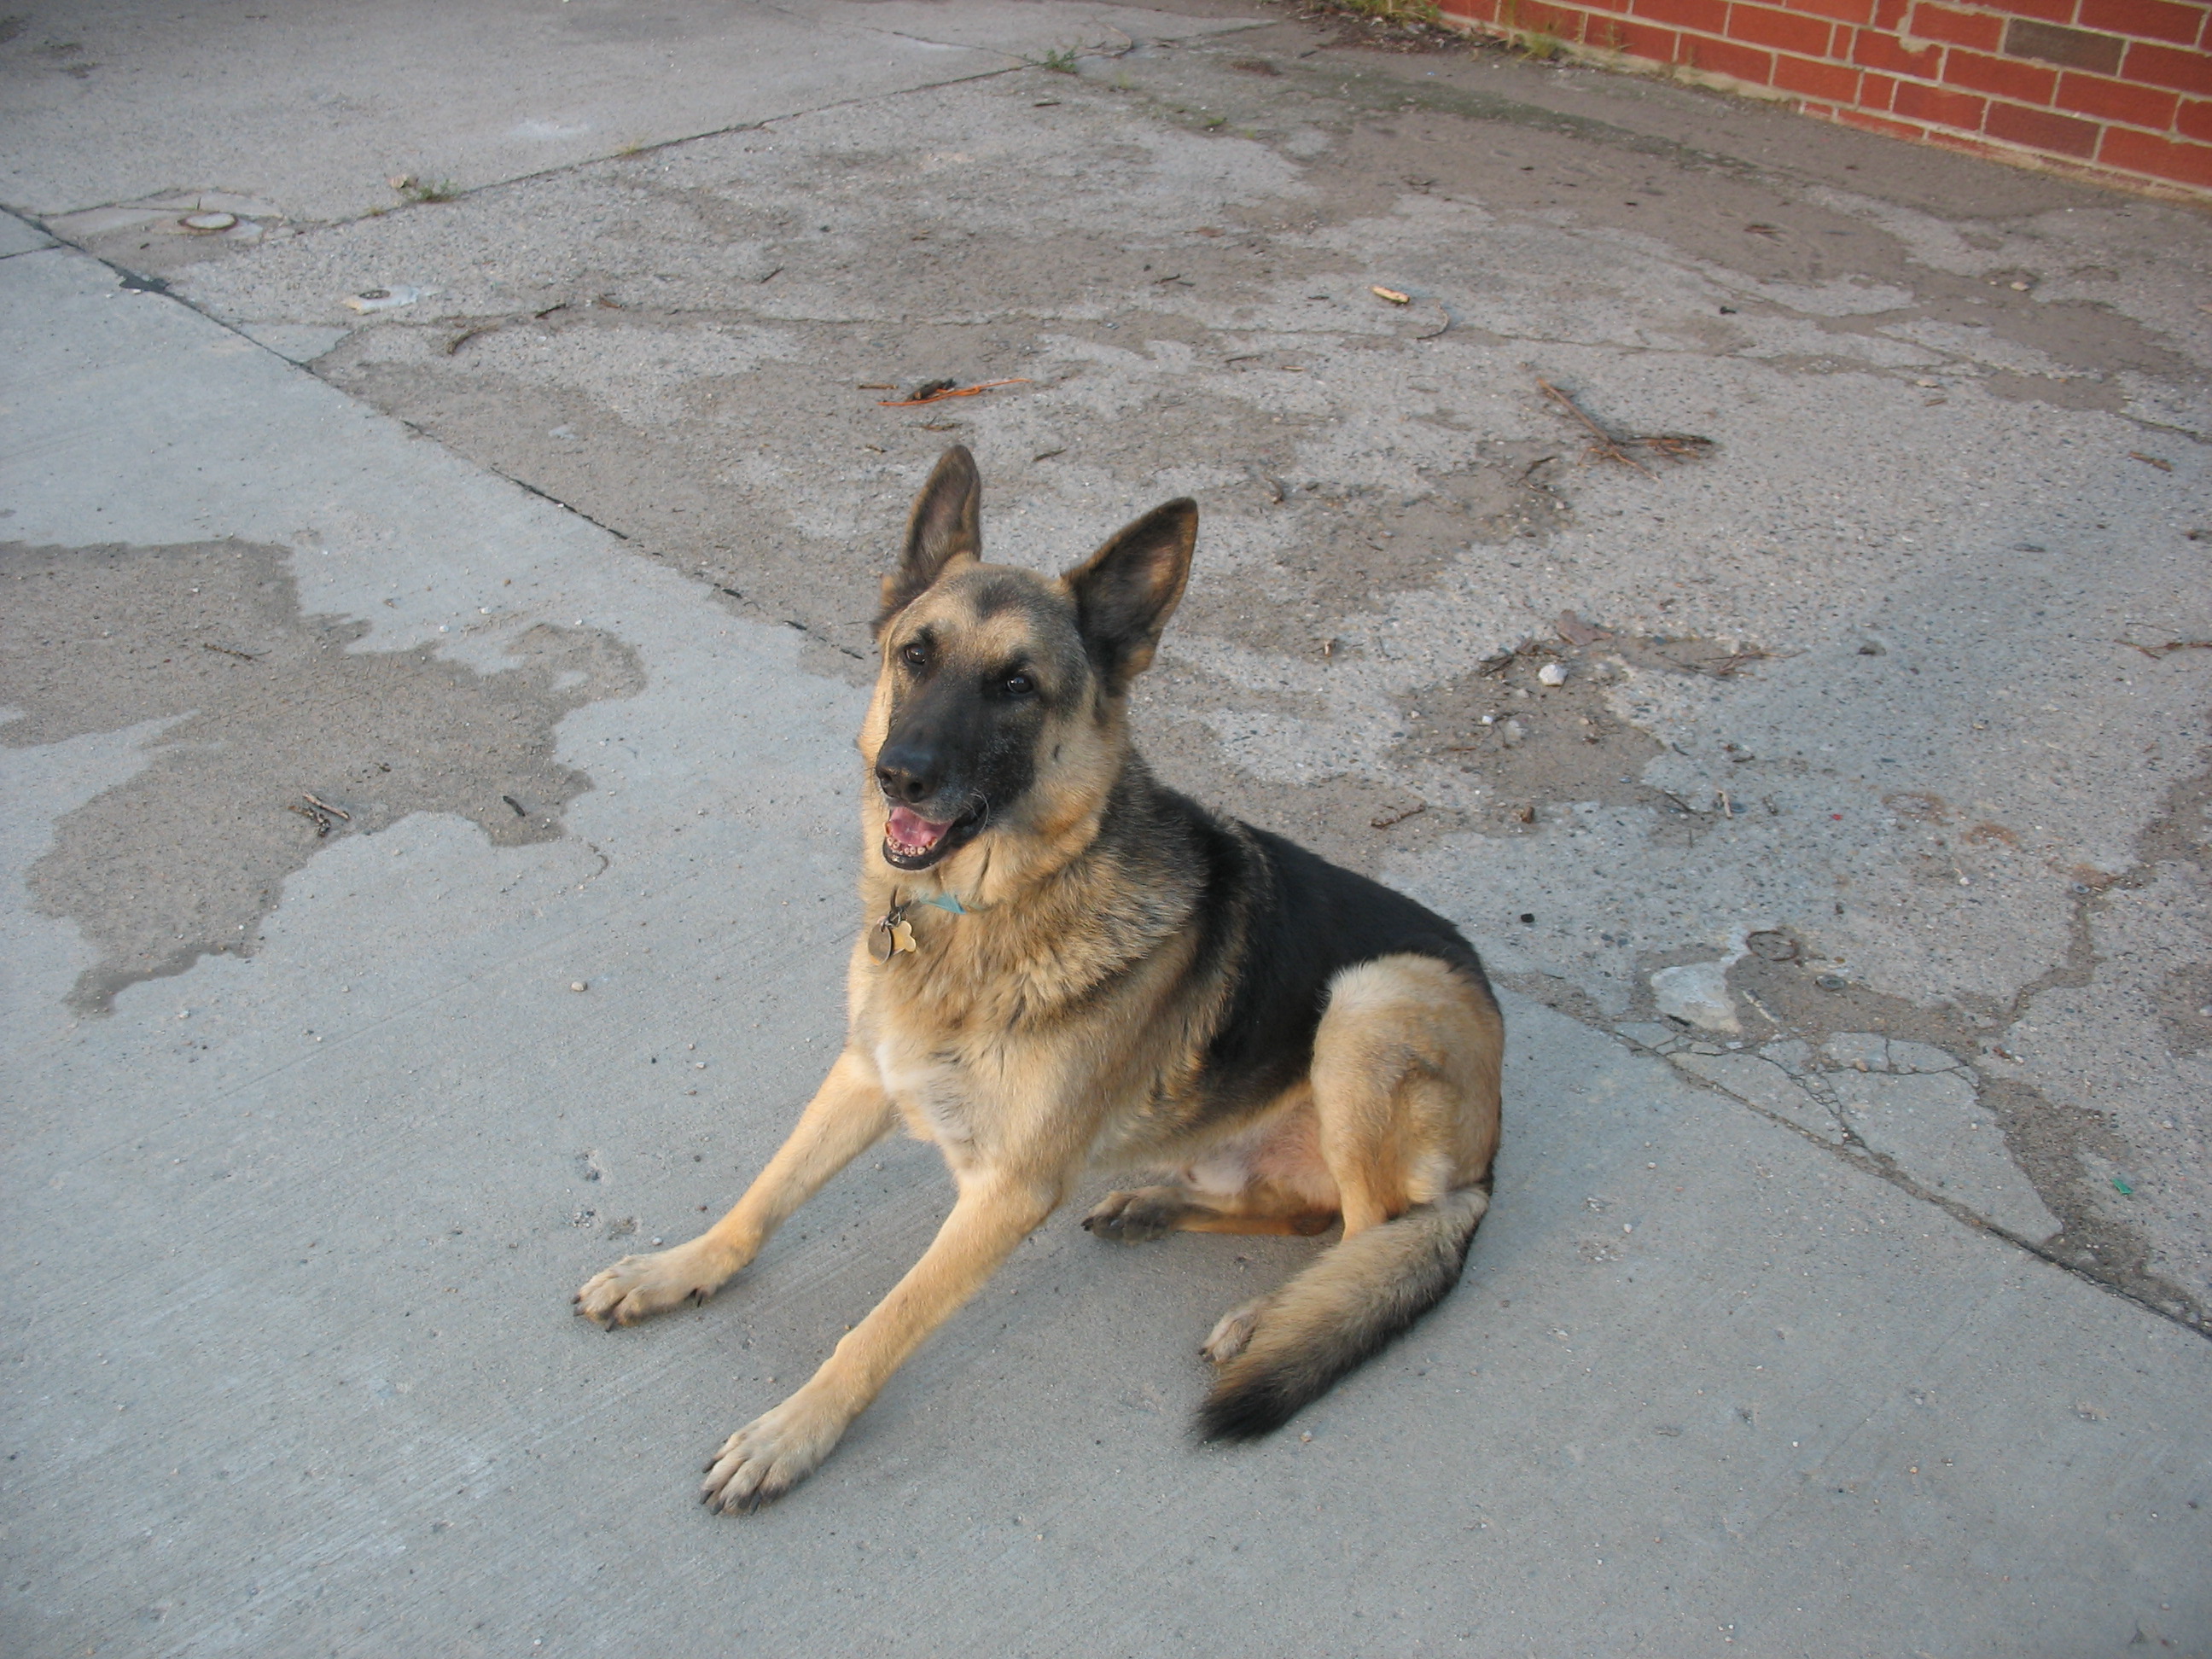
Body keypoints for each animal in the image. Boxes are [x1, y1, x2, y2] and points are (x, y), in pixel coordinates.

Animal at [575, 446, 1504, 1512]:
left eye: (1017, 684)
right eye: (915, 655)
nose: (902, 775)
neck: (982, 915)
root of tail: (1491, 1155)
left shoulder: (1006, 1191)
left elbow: (880, 1326)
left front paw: (794, 1430)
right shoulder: (865, 1076)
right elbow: (760, 1201)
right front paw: (675, 1270)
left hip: (1370, 998)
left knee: (1370, 1232)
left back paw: (1271, 1319)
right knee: (1310, 1211)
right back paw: (1157, 1206)